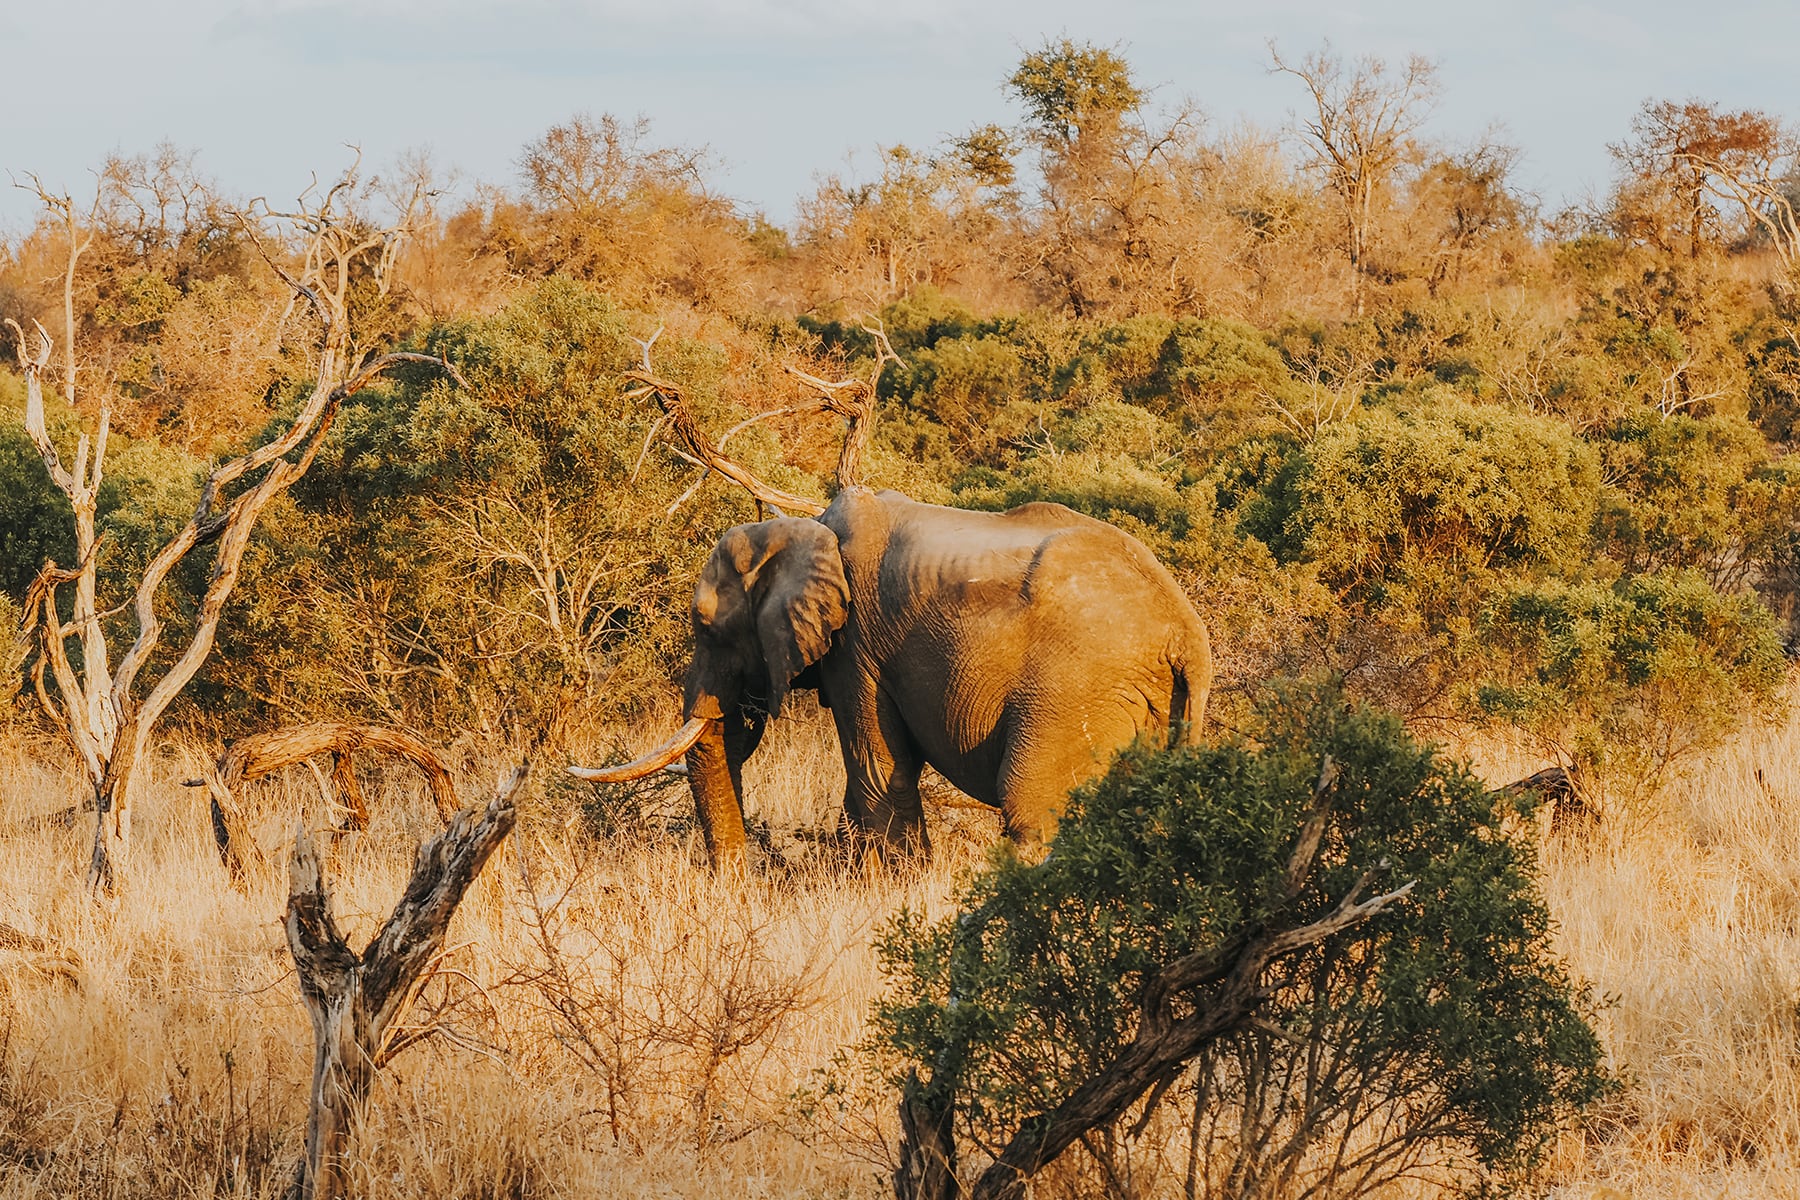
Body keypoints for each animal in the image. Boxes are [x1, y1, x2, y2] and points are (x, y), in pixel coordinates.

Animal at [570, 486, 1212, 867]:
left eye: (706, 628)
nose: (738, 886)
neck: (804, 530)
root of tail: (1187, 635)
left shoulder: (858, 647)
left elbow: (877, 770)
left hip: (1074, 689)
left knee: (1032, 809)